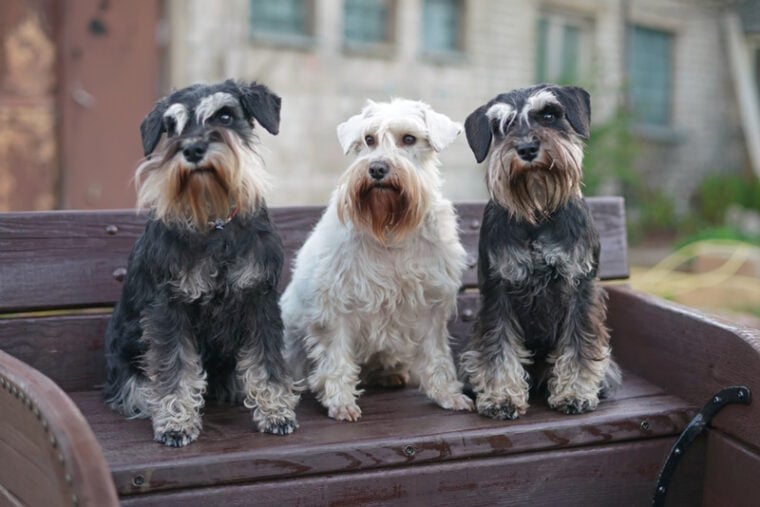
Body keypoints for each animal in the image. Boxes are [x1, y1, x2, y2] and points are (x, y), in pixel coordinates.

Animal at [104, 79, 300, 448]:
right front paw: (176, 422)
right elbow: (174, 367)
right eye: (171, 126)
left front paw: (277, 412)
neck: (214, 220)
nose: (193, 149)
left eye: (225, 115)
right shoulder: (169, 308)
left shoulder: (259, 300)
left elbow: (266, 360)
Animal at [282, 98, 472, 420]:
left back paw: (389, 373)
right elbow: (336, 355)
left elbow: (436, 353)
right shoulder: (336, 305)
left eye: (409, 139)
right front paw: (341, 401)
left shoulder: (432, 302)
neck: (390, 228)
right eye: (369, 139)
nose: (378, 168)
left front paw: (447, 394)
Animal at [460, 85, 620, 420]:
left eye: (548, 114)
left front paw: (575, 393)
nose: (527, 149)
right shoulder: (498, 291)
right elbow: (498, 347)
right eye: (501, 126)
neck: (537, 213)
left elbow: (579, 344)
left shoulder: (581, 288)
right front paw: (501, 397)